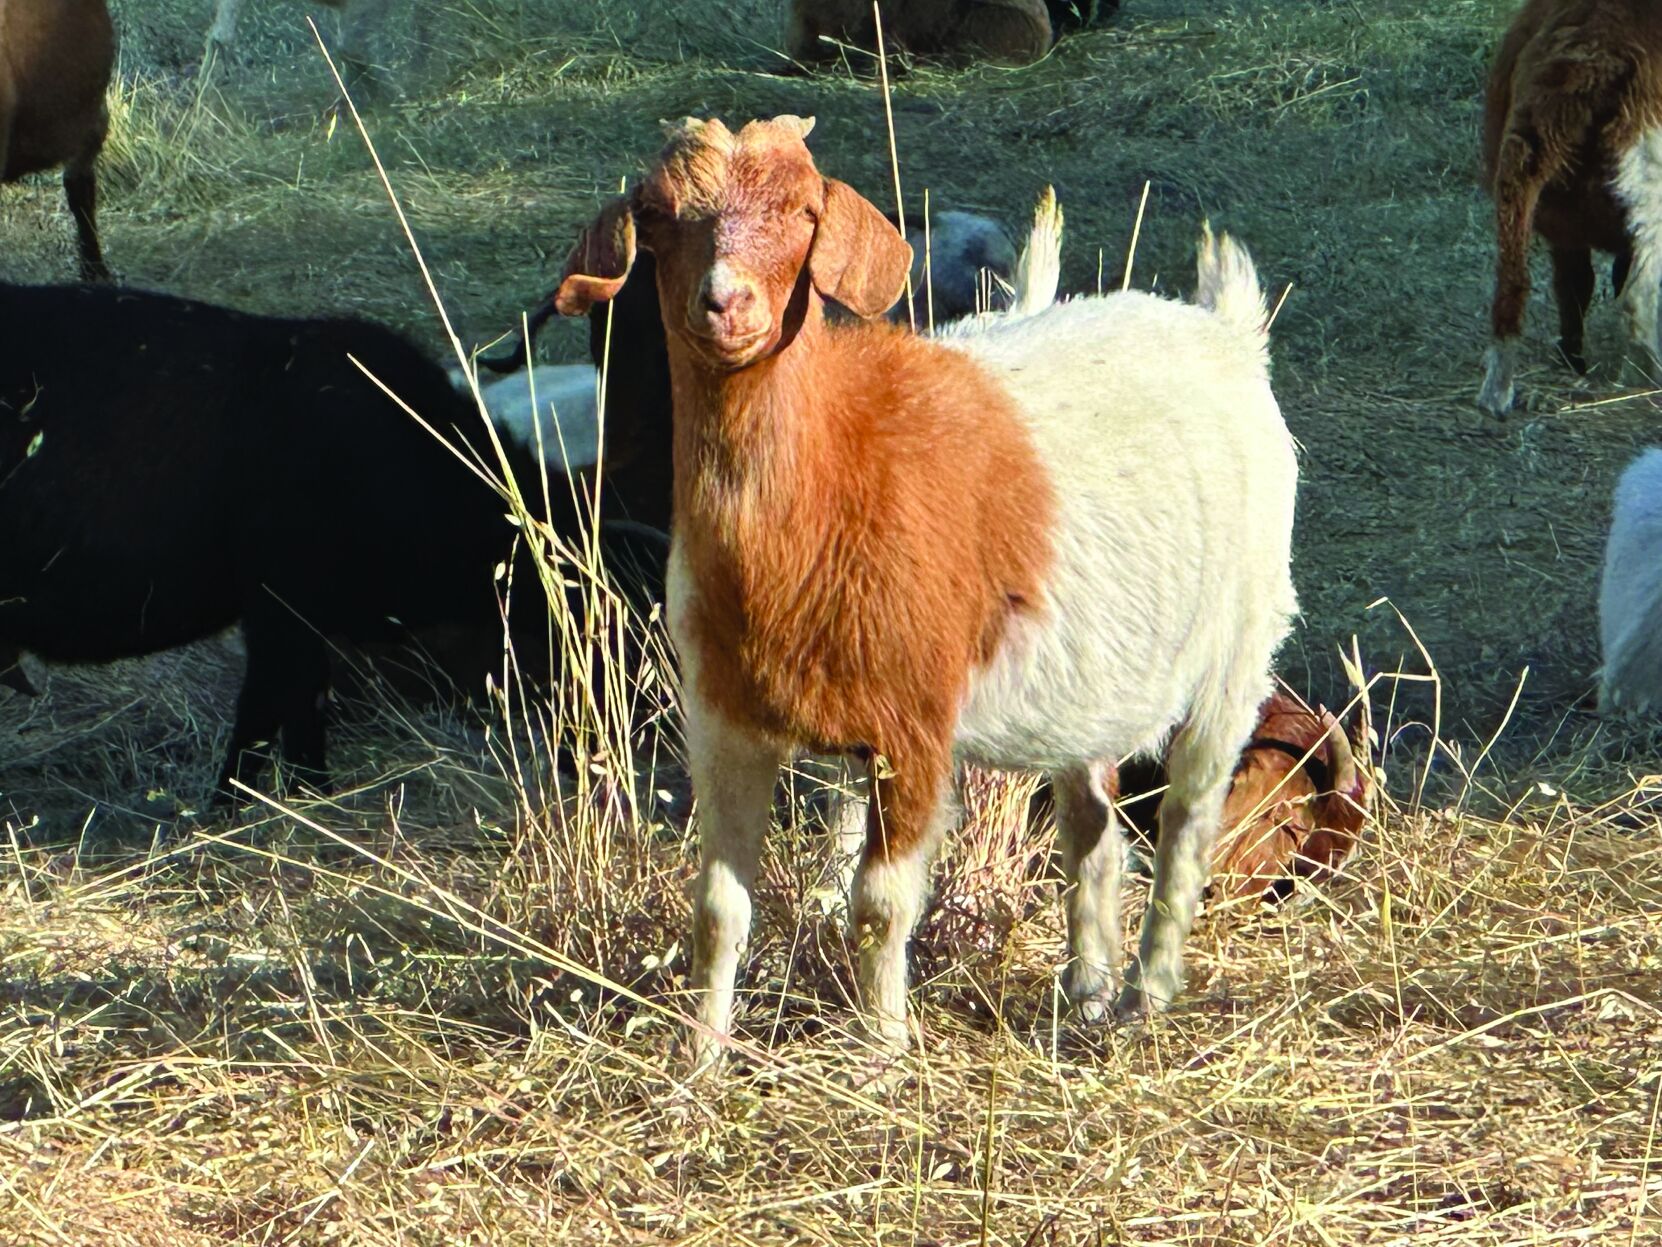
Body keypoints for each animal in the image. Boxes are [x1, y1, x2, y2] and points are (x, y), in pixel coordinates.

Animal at [555, 116, 1298, 1066]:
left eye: (803, 213)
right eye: (656, 215)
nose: (725, 305)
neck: (835, 463)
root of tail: (1222, 329)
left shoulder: (911, 729)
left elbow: (880, 906)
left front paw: (879, 1053)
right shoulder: (725, 718)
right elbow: (718, 909)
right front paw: (701, 1060)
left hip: (1238, 647)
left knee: (1188, 810)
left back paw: (1147, 992)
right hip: (1087, 681)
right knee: (1089, 826)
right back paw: (1086, 990)